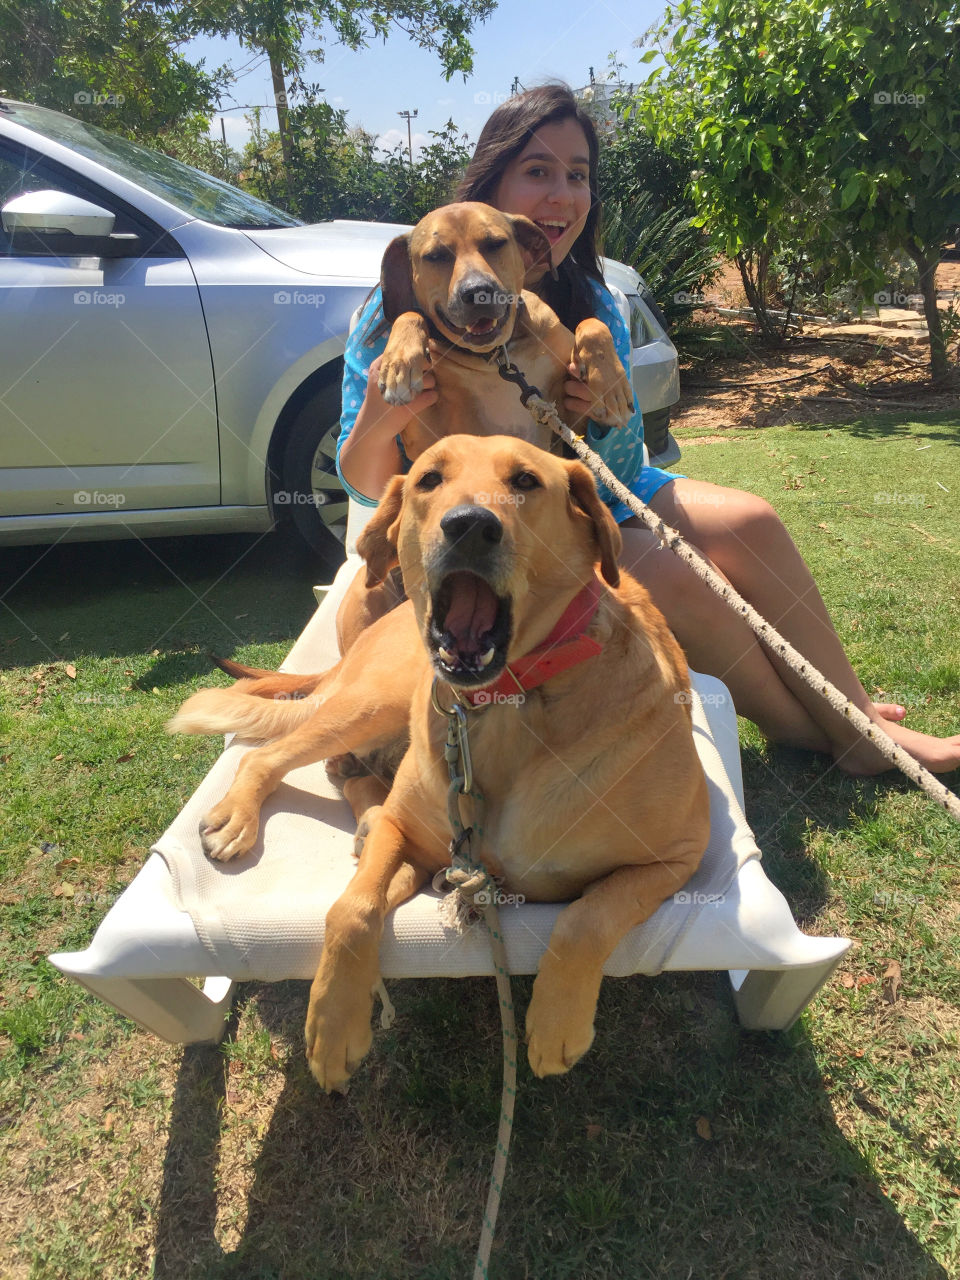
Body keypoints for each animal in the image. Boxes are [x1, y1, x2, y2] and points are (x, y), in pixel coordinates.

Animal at [168, 437, 711, 1090]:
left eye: (526, 481)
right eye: (429, 479)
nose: (470, 525)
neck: (506, 708)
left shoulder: (679, 857)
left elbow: (588, 915)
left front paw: (557, 1021)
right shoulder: (407, 829)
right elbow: (350, 909)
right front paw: (334, 1024)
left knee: (351, 780)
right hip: (368, 703)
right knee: (272, 757)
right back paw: (241, 816)